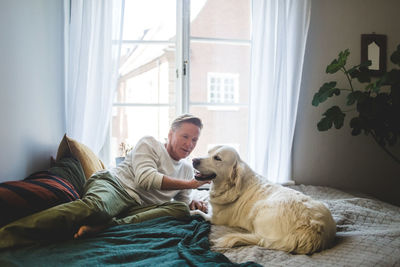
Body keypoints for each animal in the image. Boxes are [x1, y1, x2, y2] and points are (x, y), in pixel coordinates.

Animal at [192, 146, 336, 254]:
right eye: (208, 152)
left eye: (217, 158)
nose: (194, 160)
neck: (230, 186)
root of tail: (312, 228)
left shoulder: (214, 219)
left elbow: (198, 213)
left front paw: (192, 211)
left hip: (260, 207)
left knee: (258, 238)